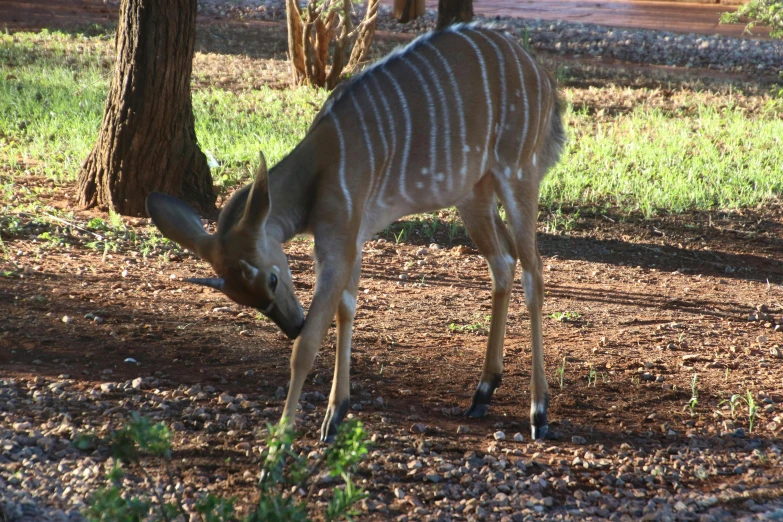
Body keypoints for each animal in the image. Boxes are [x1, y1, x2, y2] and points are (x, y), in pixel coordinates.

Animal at [145, 24, 564, 438]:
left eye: (272, 279)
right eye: (239, 297)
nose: (290, 325)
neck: (320, 167)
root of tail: (543, 76)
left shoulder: (338, 241)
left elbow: (309, 344)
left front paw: (283, 439)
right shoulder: (353, 238)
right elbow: (347, 309)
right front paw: (336, 413)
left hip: (519, 173)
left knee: (534, 273)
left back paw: (539, 412)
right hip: (472, 194)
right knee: (503, 262)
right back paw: (482, 392)